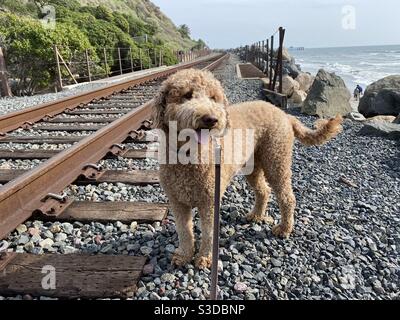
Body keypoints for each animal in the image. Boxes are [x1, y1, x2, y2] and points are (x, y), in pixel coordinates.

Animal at [152, 69, 342, 268]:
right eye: (187, 95)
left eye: (213, 98)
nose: (211, 119)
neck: (190, 155)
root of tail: (285, 115)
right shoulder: (177, 201)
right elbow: (184, 231)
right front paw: (184, 255)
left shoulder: (210, 200)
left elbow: (208, 232)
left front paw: (205, 258)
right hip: (254, 167)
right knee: (264, 190)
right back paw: (256, 215)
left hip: (276, 160)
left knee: (287, 197)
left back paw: (284, 228)